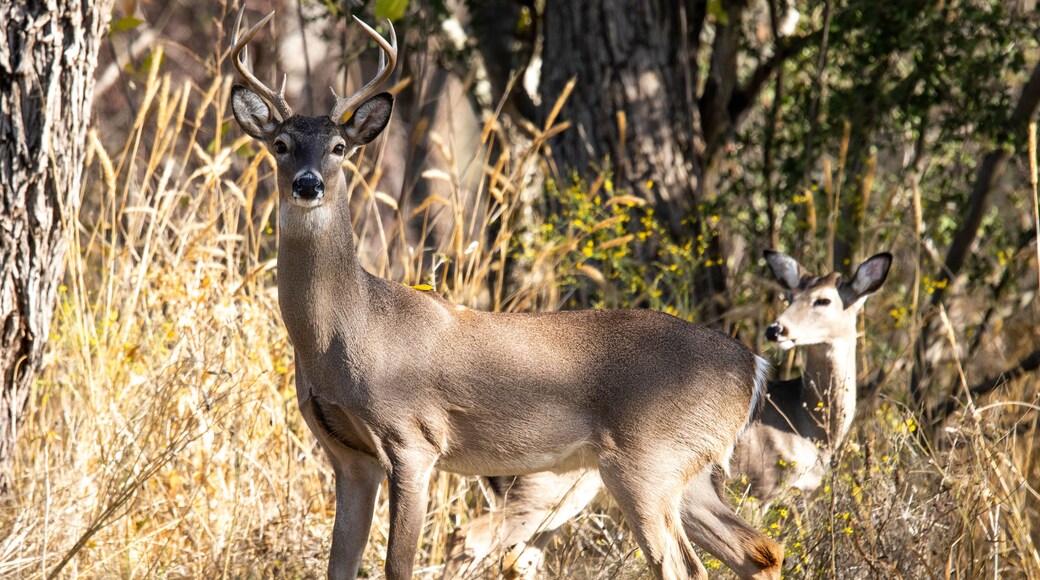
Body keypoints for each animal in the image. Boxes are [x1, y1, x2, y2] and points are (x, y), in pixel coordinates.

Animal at [228, 10, 782, 580]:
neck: (347, 330)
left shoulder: (413, 439)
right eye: (280, 145)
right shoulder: (349, 456)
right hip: (686, 470)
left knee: (683, 565)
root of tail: (755, 366)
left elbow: (397, 566)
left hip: (646, 461)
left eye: (339, 148)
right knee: (760, 549)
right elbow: (340, 564)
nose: (308, 184)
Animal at [444, 250, 891, 578]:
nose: (777, 330)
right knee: (473, 537)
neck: (805, 420)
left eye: (824, 299)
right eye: (789, 296)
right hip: (559, 488)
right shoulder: (761, 489)